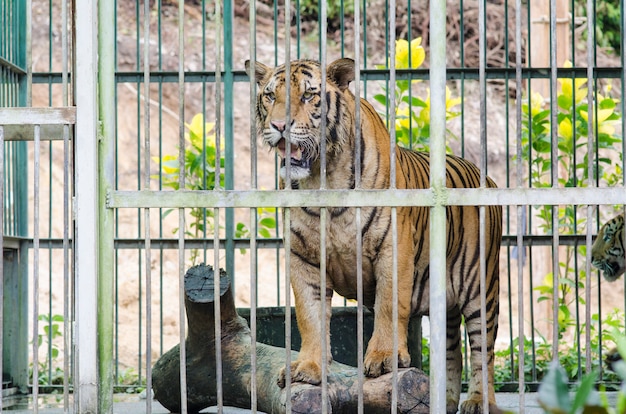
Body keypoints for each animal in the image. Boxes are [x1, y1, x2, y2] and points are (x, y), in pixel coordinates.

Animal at [244, 58, 502, 414]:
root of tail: (485, 175)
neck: (323, 178)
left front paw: (384, 359)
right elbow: (309, 317)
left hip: (481, 290)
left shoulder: (393, 249)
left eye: (309, 95)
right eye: (270, 96)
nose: (280, 125)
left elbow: (389, 307)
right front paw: (307, 367)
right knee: (452, 351)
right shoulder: (302, 258)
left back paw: (478, 401)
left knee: (483, 352)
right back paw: (447, 401)